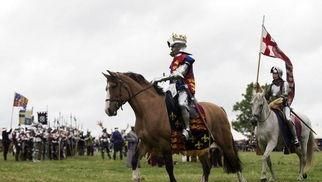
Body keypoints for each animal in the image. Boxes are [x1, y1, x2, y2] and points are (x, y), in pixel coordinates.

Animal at [103, 70, 247, 181]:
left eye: (113, 86)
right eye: (106, 88)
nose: (108, 110)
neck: (149, 109)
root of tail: (220, 109)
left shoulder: (165, 144)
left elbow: (169, 169)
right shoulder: (146, 143)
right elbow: (134, 161)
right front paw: (136, 177)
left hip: (225, 143)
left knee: (235, 164)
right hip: (202, 147)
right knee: (207, 168)